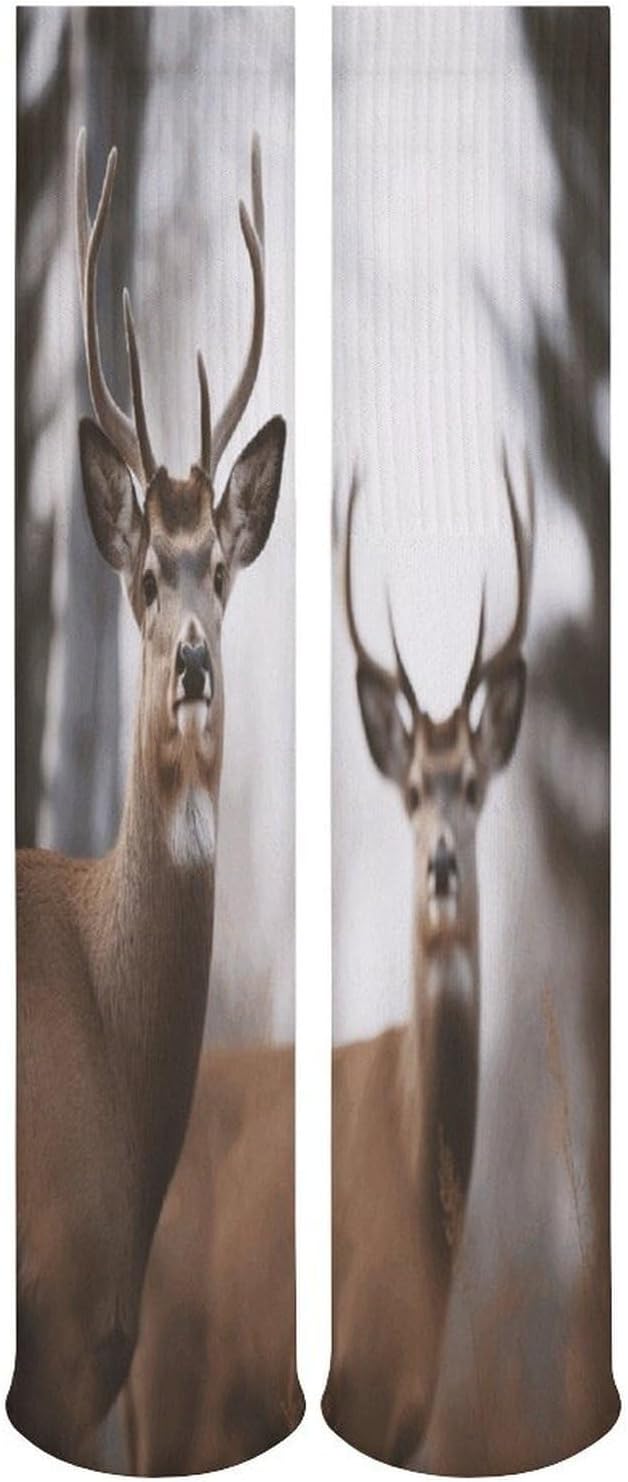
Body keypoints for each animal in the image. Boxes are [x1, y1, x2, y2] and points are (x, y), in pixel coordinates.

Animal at [118, 455, 533, 1474]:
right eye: (414, 790)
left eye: (474, 785)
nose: (442, 866)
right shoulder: (368, 1377)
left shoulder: (412, 1408)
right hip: (172, 1379)